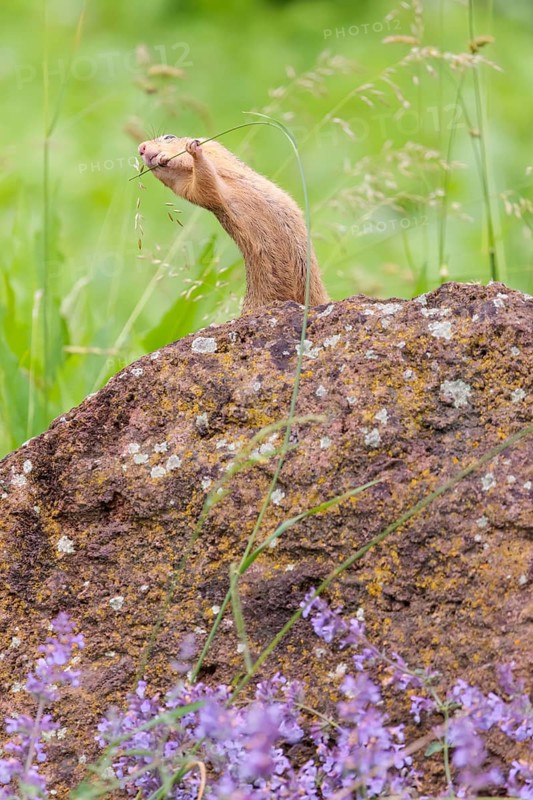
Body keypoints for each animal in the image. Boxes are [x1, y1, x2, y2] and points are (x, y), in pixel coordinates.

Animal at [137, 135, 329, 314]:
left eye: (169, 137)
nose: (141, 147)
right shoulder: (190, 190)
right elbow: (204, 183)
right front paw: (188, 154)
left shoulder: (214, 155)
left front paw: (179, 152)